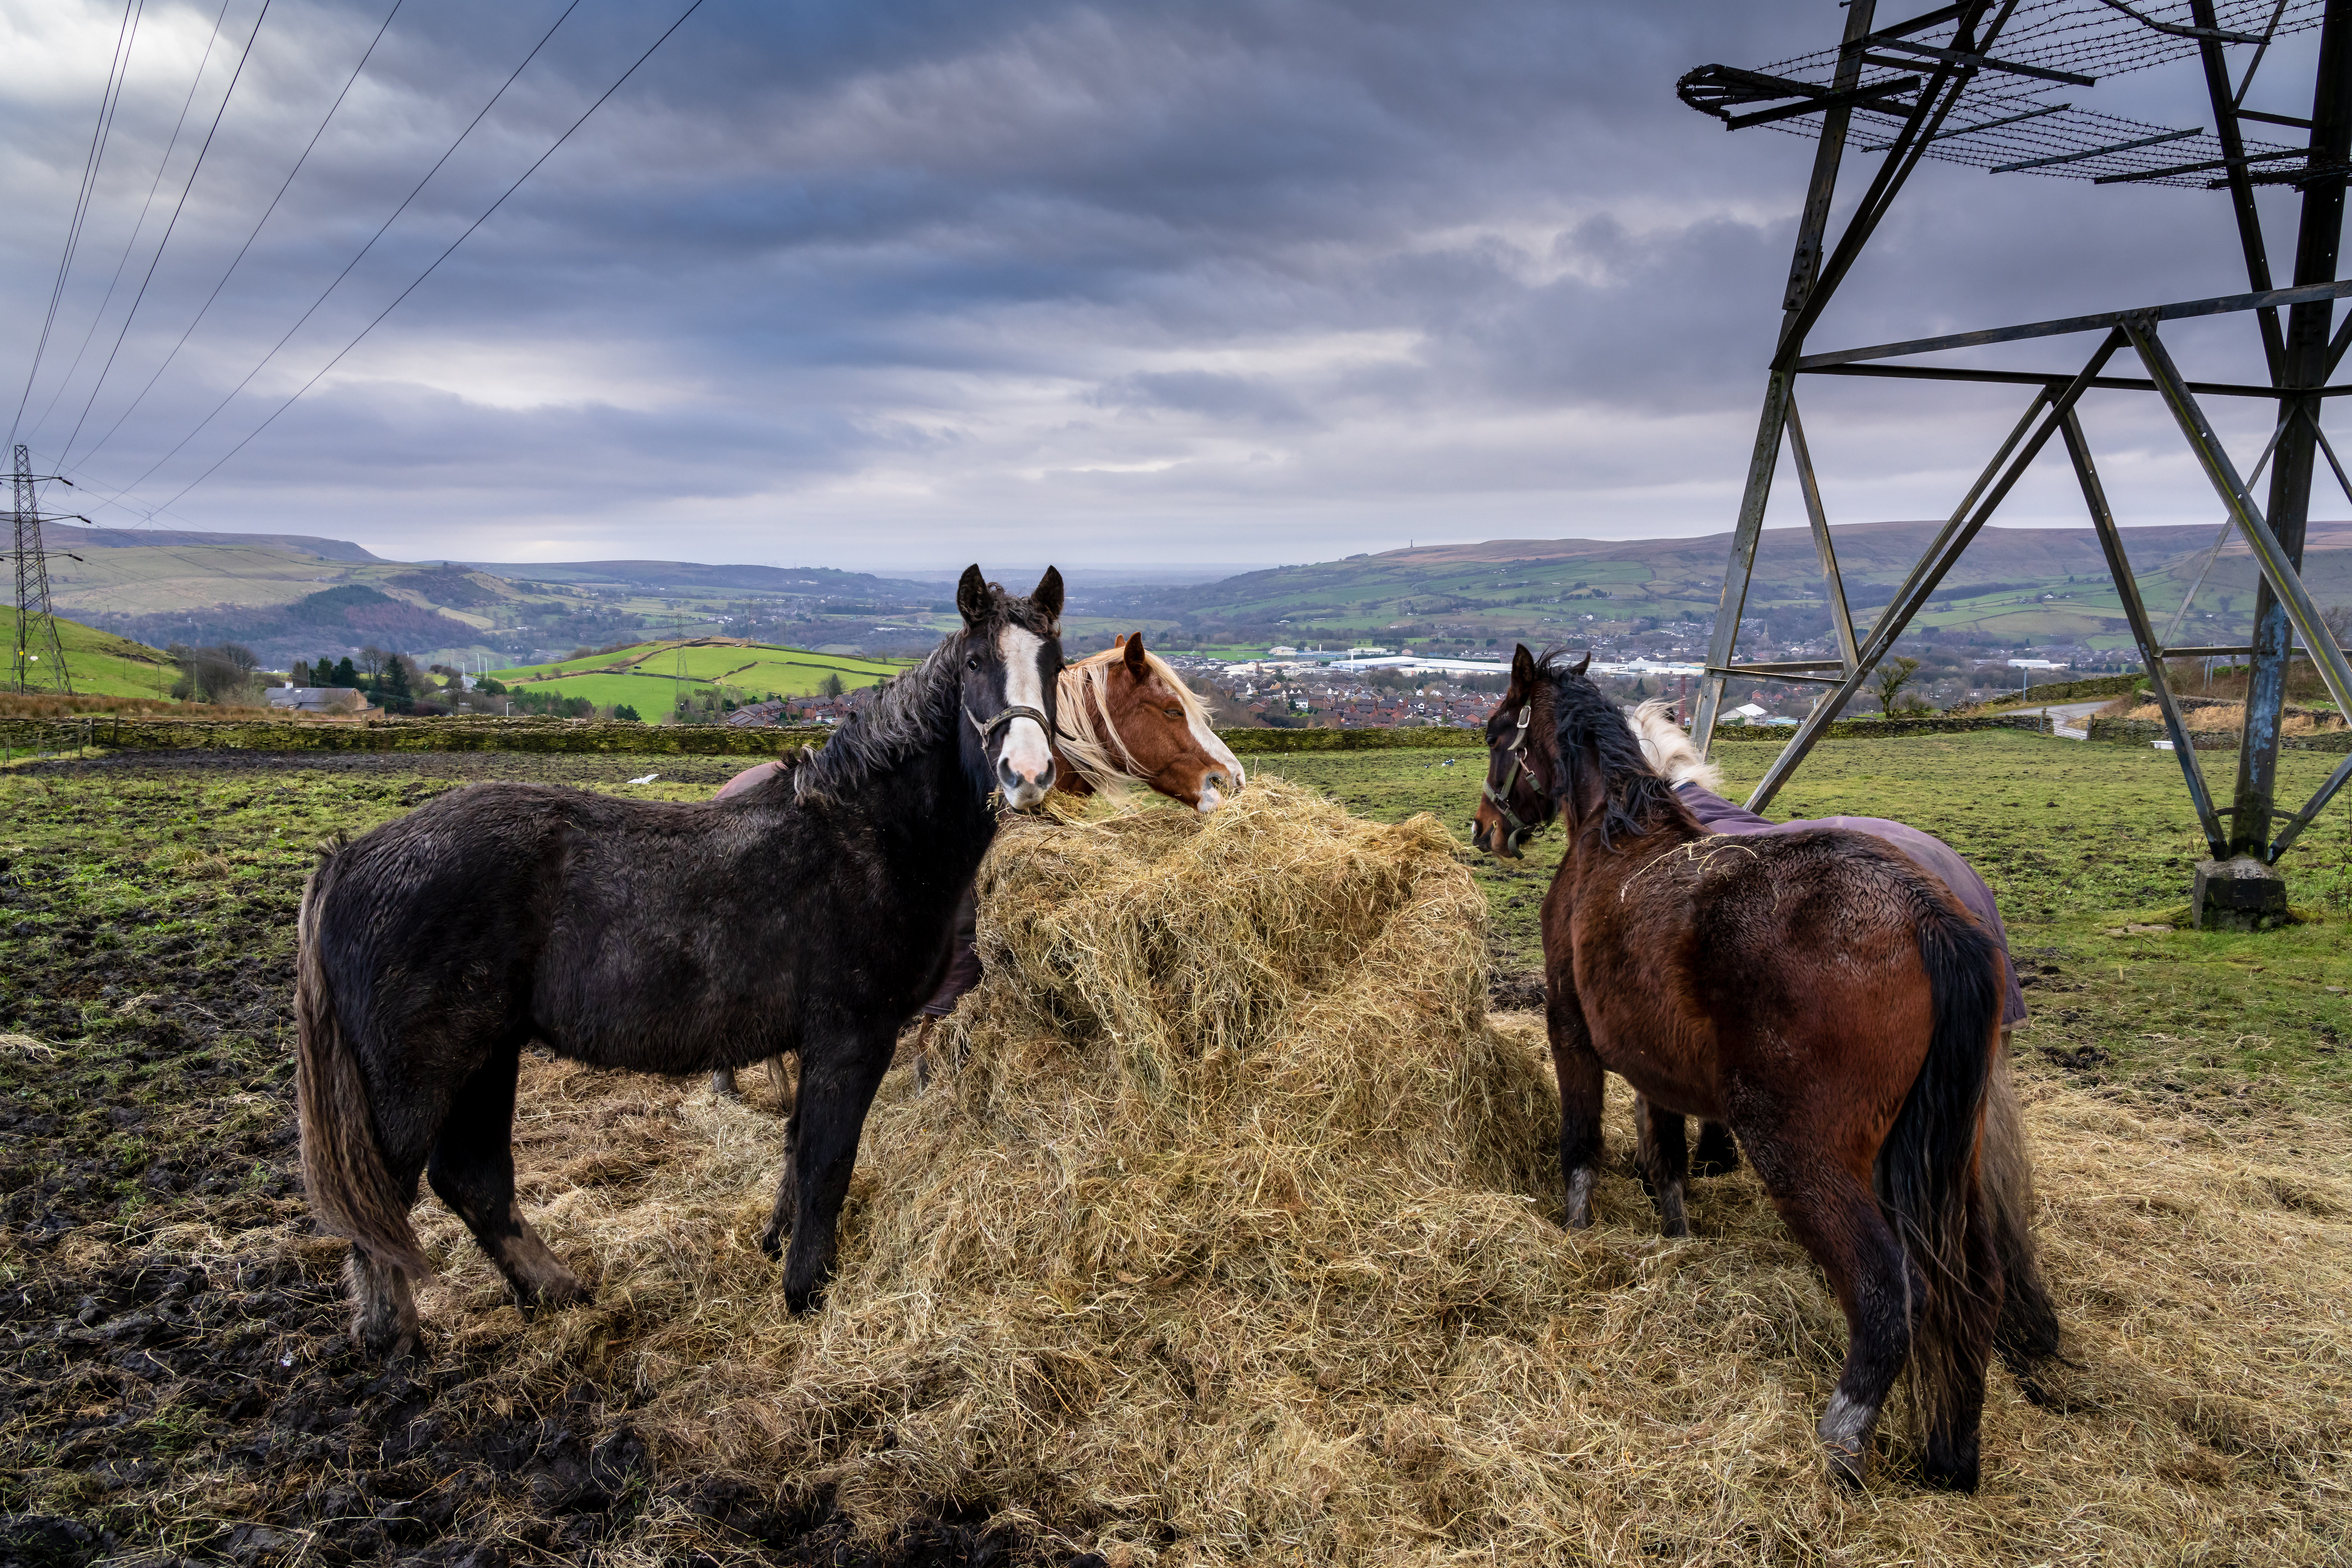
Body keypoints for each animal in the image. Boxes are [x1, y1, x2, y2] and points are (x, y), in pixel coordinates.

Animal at [296, 571, 1068, 1354]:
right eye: (974, 662)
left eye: (1056, 665)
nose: (1028, 775)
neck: (867, 835)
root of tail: (347, 860)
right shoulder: (853, 1036)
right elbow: (827, 1161)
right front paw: (806, 1292)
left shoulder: (818, 1042)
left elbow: (797, 1147)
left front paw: (775, 1242)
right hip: (418, 1077)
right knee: (389, 1198)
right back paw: (395, 1335)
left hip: (486, 1055)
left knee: (472, 1179)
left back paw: (558, 1291)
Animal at [1467, 644, 2060, 1495]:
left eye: (1495, 730)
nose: (1484, 829)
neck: (1616, 835)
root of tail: (1925, 913)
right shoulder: (1656, 1066)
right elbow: (1667, 1159)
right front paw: (1676, 1239)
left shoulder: (1572, 1031)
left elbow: (1581, 1147)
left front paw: (1576, 1236)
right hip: (1950, 1160)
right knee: (1973, 1287)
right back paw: (1954, 1454)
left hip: (1803, 1157)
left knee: (1887, 1294)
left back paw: (1838, 1449)